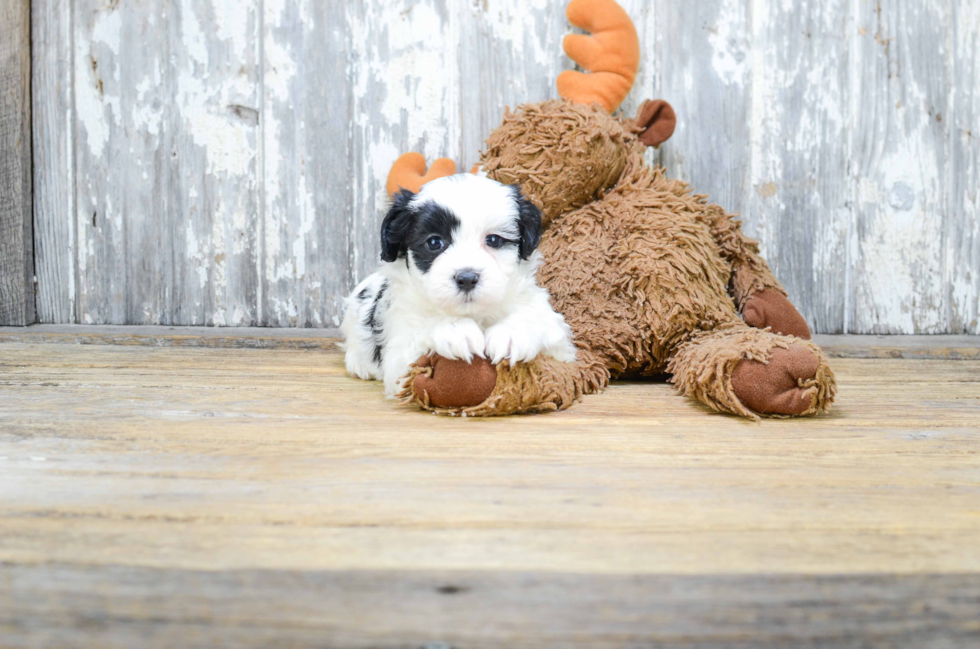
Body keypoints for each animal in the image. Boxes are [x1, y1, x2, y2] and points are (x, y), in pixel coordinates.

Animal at [342, 173, 580, 394]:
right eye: (434, 242)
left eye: (494, 240)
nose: (466, 278)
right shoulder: (400, 355)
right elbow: (420, 336)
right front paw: (454, 330)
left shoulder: (561, 346)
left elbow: (541, 324)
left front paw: (511, 335)